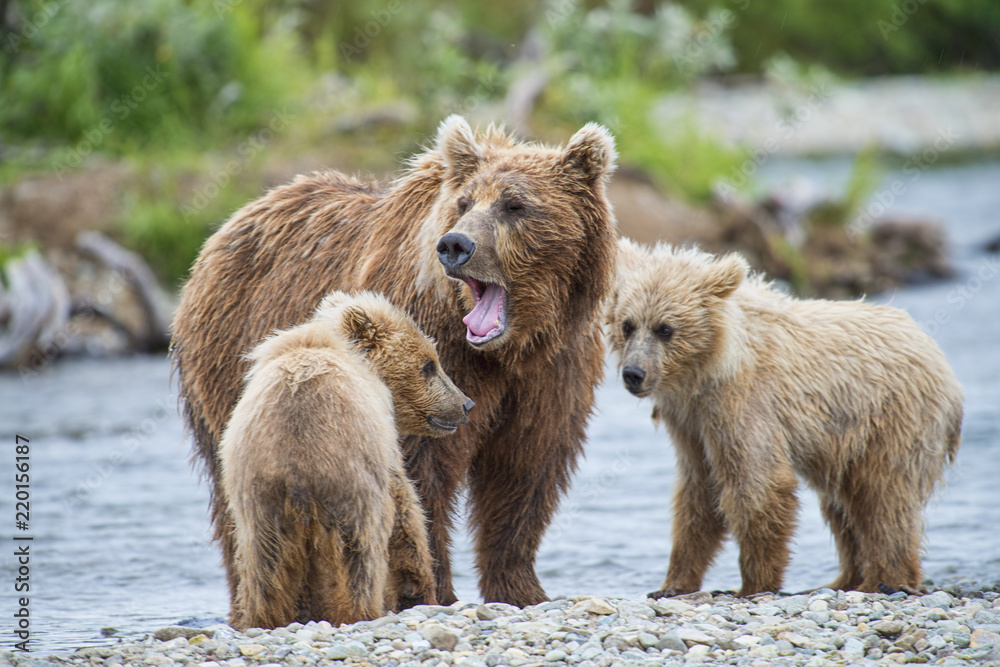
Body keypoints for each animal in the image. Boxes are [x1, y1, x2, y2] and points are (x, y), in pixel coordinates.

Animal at [219, 291, 473, 630]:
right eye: (429, 365)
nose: (466, 404)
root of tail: (298, 474)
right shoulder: (383, 444)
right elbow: (405, 508)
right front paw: (416, 588)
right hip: (351, 495)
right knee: (361, 561)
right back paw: (362, 611)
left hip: (260, 508)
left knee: (263, 573)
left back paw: (262, 618)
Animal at [605, 239, 964, 597]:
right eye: (627, 324)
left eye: (665, 328)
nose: (634, 373)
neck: (706, 371)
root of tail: (935, 353)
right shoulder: (690, 423)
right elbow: (698, 492)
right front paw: (672, 583)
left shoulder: (742, 405)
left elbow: (756, 484)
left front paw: (753, 584)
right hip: (843, 443)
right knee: (842, 506)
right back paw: (844, 579)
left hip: (891, 419)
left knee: (884, 496)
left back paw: (883, 578)